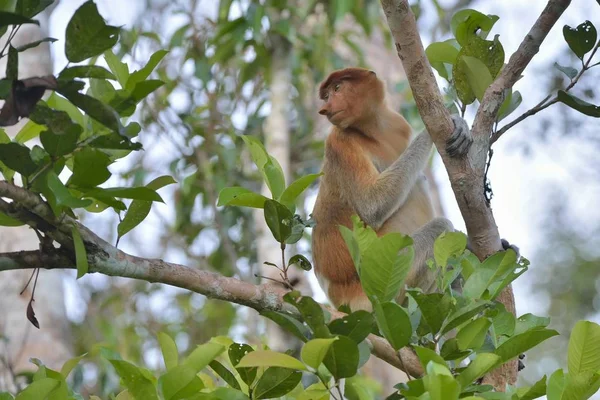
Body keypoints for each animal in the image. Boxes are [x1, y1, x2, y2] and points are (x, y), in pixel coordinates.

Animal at [310, 67, 474, 310]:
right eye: (326, 95)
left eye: (337, 88)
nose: (324, 109)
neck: (372, 130)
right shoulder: (339, 142)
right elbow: (372, 205)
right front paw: (437, 127)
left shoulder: (398, 124)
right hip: (381, 277)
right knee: (439, 227)